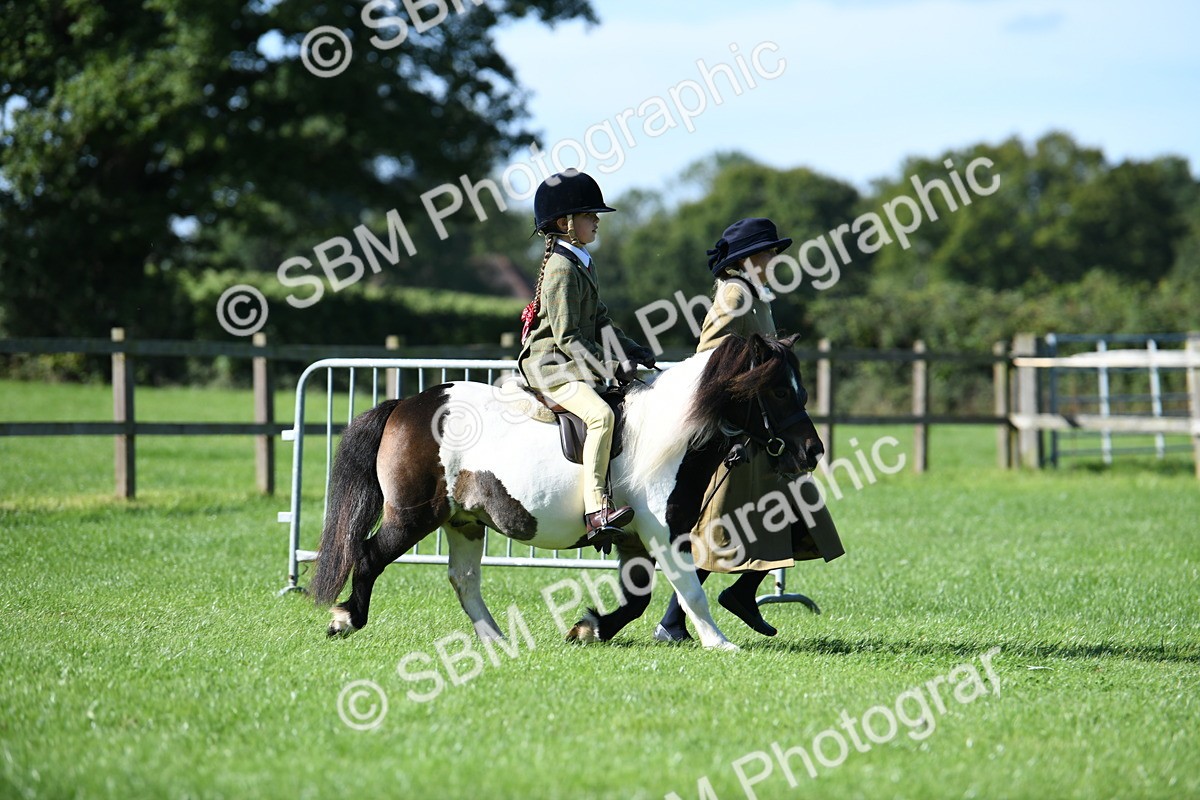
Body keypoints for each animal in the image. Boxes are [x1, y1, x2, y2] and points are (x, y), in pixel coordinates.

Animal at [309, 332, 824, 651]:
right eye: (779, 391)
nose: (812, 451)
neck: (672, 431)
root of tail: (407, 404)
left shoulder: (634, 540)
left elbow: (637, 599)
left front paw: (589, 628)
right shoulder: (663, 534)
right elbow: (690, 590)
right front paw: (720, 642)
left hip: (464, 521)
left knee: (464, 579)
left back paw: (495, 638)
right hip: (414, 515)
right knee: (369, 555)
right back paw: (345, 619)